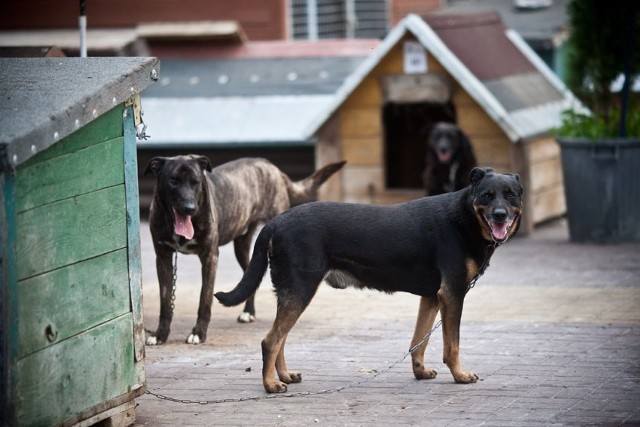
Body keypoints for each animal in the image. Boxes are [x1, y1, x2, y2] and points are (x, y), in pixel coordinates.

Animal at [144, 155, 344, 346]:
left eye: (196, 182)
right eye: (173, 181)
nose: (189, 208)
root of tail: (273, 168)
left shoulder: (209, 258)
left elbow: (204, 300)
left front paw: (198, 333)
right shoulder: (162, 259)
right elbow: (165, 302)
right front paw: (160, 335)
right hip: (243, 247)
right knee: (249, 276)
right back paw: (248, 312)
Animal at [218, 168, 524, 394]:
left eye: (510, 195)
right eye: (486, 195)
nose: (500, 215)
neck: (465, 217)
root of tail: (276, 222)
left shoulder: (432, 297)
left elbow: (419, 341)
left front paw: (420, 372)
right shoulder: (452, 294)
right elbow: (453, 345)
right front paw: (460, 375)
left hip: (292, 292)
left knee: (280, 338)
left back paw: (284, 375)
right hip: (300, 289)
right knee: (270, 341)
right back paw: (270, 384)